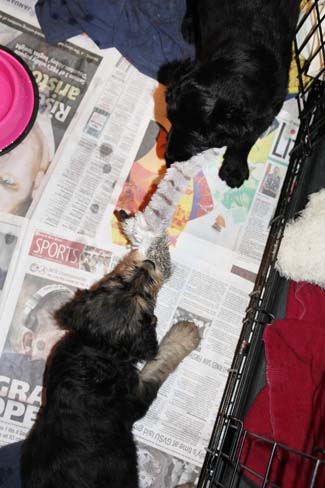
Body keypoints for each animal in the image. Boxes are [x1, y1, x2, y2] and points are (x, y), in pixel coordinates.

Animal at [20, 248, 200, 488]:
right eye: (148, 298)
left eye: (119, 279)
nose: (148, 264)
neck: (99, 349)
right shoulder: (136, 396)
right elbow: (158, 363)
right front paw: (184, 334)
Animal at [159, 0, 298, 187]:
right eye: (170, 119)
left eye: (201, 135)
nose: (169, 157)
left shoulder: (266, 113)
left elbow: (245, 141)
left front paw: (234, 169)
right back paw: (189, 27)